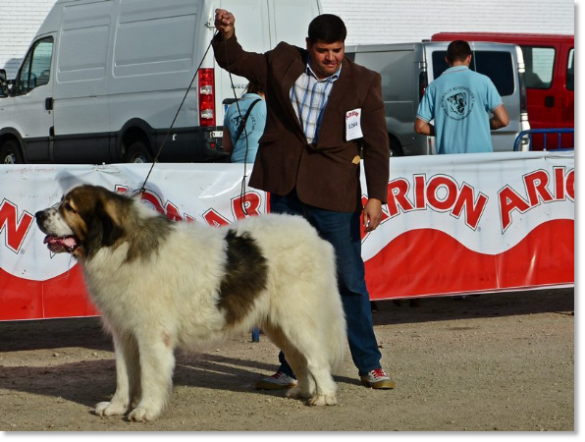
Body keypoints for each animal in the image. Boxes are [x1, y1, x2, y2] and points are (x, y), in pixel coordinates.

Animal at [35, 186, 346, 422]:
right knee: (298, 358)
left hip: (296, 319)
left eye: (69, 208)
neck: (119, 246)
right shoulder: (123, 333)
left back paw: (324, 396)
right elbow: (124, 376)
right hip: (277, 325)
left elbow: (150, 375)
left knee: (316, 357)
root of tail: (313, 234)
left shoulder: (151, 334)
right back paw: (303, 391)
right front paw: (116, 407)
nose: (38, 214)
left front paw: (145, 410)